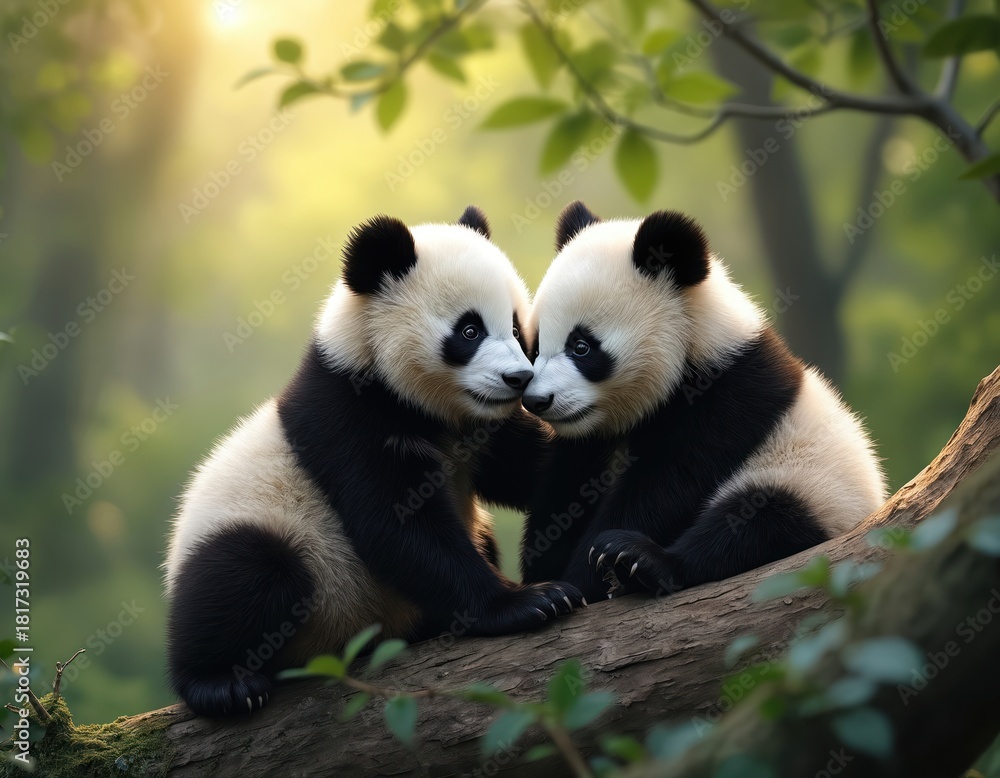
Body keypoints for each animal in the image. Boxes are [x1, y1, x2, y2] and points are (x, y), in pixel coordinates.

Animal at [164, 207, 585, 716]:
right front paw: (529, 602)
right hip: (272, 538)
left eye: (521, 331)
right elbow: (394, 524)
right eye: (470, 331)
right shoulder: (345, 418)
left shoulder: (480, 430)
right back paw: (219, 683)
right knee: (244, 575)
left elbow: (531, 470)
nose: (518, 378)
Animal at [519, 201, 886, 602]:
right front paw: (544, 575)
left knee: (754, 522)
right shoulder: (588, 440)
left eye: (581, 346)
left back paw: (639, 560)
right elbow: (566, 489)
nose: (537, 401)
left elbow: (671, 480)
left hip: (816, 486)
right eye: (533, 347)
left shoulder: (728, 392)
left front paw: (587, 571)